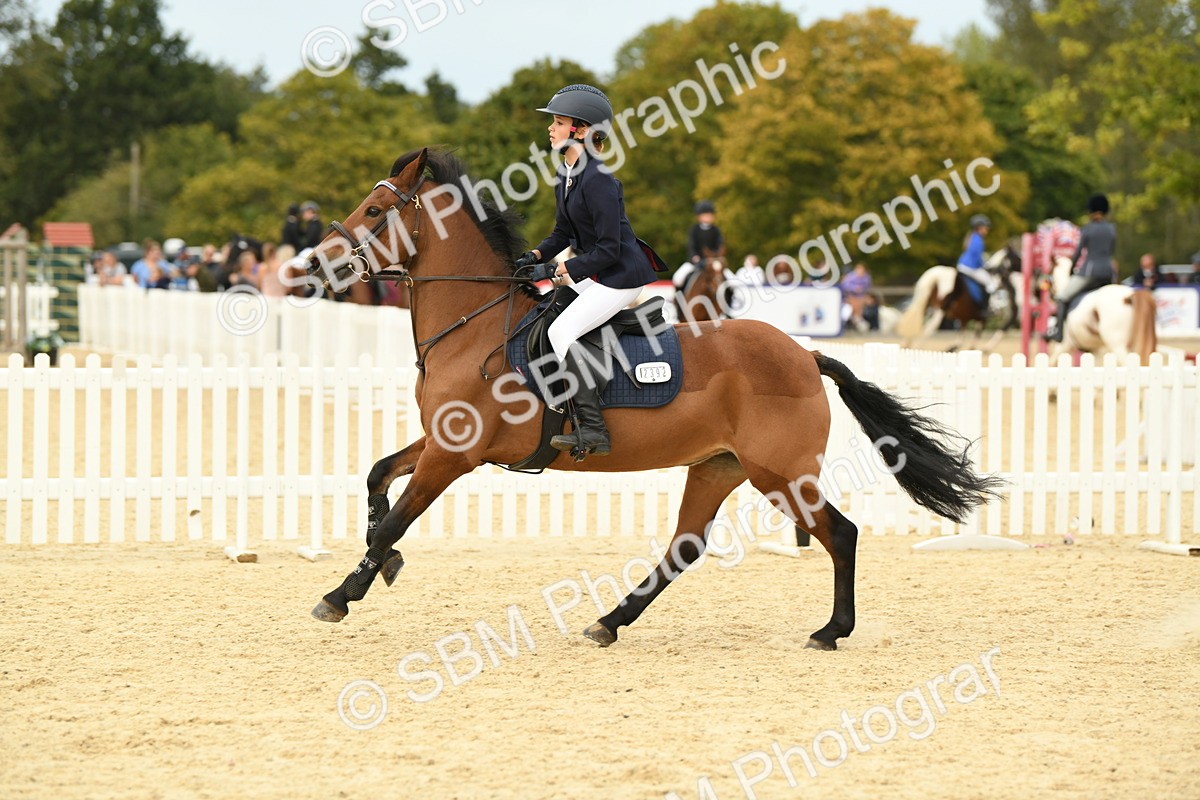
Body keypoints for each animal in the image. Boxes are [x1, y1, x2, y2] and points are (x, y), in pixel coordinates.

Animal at [304, 148, 1002, 651]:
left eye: (375, 210)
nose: (314, 264)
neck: (475, 324)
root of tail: (805, 354)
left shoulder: (455, 454)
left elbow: (397, 516)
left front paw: (342, 593)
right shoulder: (442, 439)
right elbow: (377, 477)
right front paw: (382, 561)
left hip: (779, 473)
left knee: (841, 533)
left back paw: (831, 631)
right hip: (720, 467)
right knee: (685, 547)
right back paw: (610, 622)